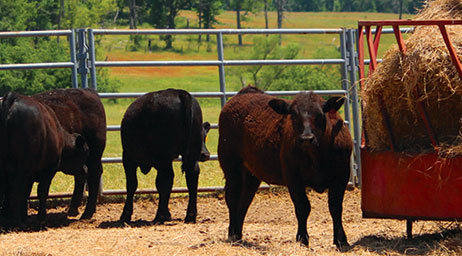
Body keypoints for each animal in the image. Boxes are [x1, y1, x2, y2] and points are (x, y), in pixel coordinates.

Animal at [120, 88, 212, 224]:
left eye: (205, 138)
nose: (205, 154)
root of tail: (179, 92)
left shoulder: (128, 158)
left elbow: (132, 185)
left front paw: (125, 215)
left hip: (163, 157)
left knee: (165, 180)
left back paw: (159, 216)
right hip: (190, 155)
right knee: (191, 176)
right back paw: (190, 216)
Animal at [218, 85, 352, 248]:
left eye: (320, 115)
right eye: (293, 116)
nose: (306, 138)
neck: (317, 156)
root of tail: (245, 92)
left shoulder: (342, 176)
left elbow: (336, 207)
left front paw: (341, 240)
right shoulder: (293, 176)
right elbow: (303, 207)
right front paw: (302, 239)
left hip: (251, 174)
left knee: (244, 201)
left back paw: (238, 235)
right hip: (231, 165)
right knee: (232, 198)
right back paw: (232, 235)